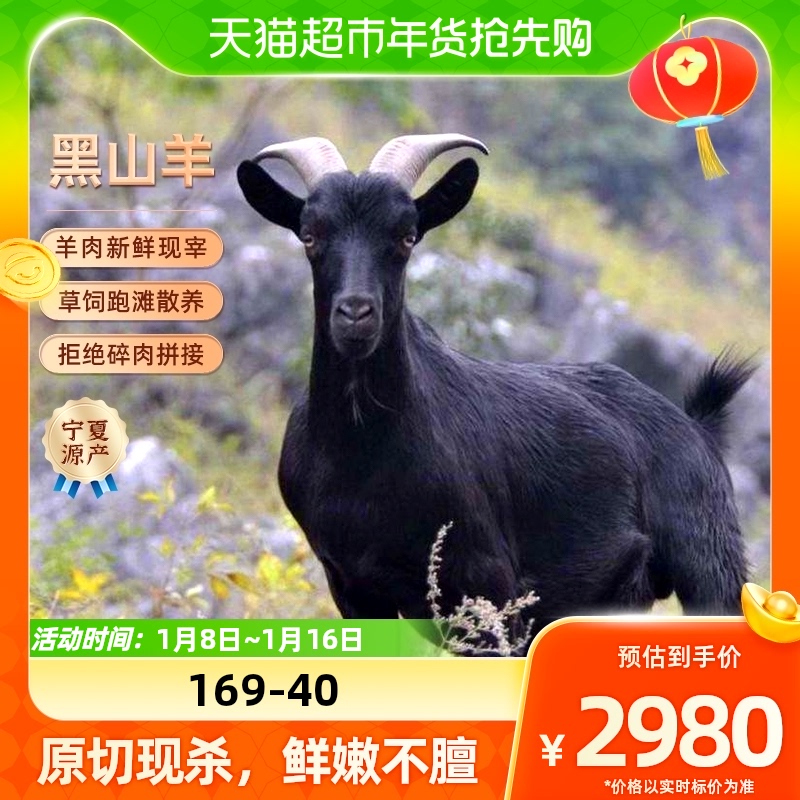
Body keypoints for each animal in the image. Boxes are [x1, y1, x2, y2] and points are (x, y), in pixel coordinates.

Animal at [237, 134, 751, 639]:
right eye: (310, 235)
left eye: (407, 237)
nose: (356, 314)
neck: (361, 454)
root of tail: (696, 426)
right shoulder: (352, 586)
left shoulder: (487, 581)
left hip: (708, 562)